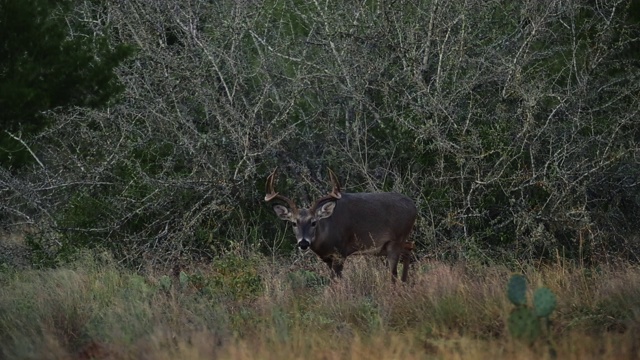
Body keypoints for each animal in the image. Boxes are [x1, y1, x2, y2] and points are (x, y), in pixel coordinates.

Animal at [264, 167, 418, 282]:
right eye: (294, 223)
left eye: (313, 222)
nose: (303, 243)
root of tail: (413, 206)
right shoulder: (327, 258)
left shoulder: (341, 252)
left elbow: (337, 280)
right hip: (390, 245)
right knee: (409, 248)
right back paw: (405, 282)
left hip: (396, 240)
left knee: (393, 273)